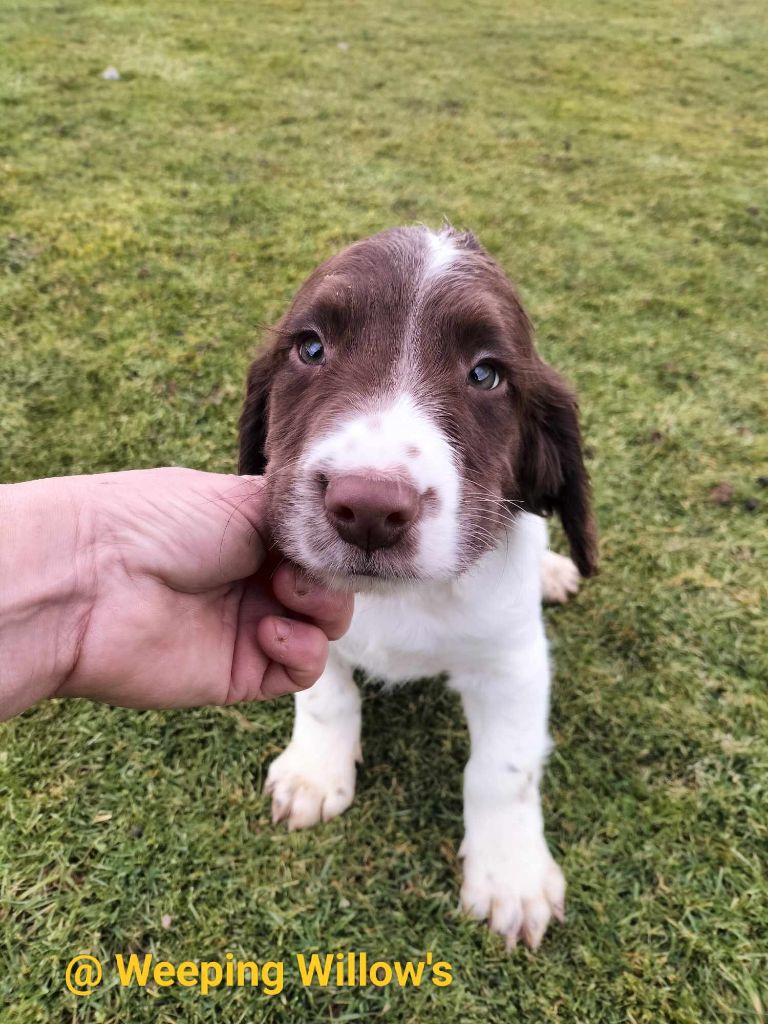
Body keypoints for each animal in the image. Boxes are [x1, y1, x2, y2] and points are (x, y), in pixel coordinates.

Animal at [237, 226, 598, 950]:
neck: (398, 599)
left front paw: (511, 875)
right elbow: (327, 697)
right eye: (310, 347)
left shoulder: (513, 663)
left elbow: (503, 769)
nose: (368, 508)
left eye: (486, 373)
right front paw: (315, 773)